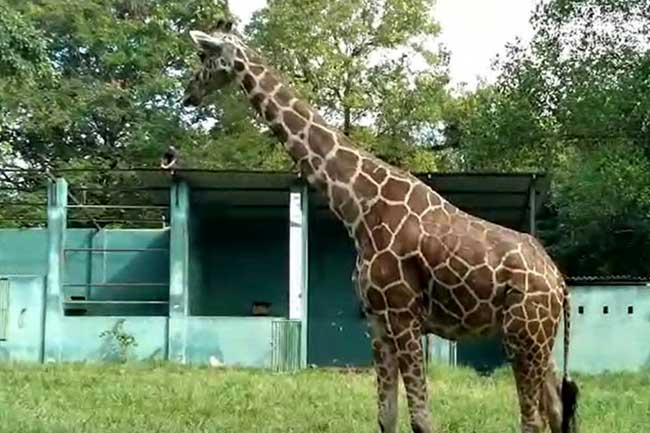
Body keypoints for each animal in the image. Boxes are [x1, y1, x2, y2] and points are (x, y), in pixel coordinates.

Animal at [182, 19, 580, 433]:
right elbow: (386, 416)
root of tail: (560, 283)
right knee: (556, 410)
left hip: (523, 335)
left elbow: (421, 418)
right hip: (538, 339)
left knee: (533, 420)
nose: (187, 94)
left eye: (203, 56)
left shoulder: (404, 316)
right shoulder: (377, 322)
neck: (360, 207)